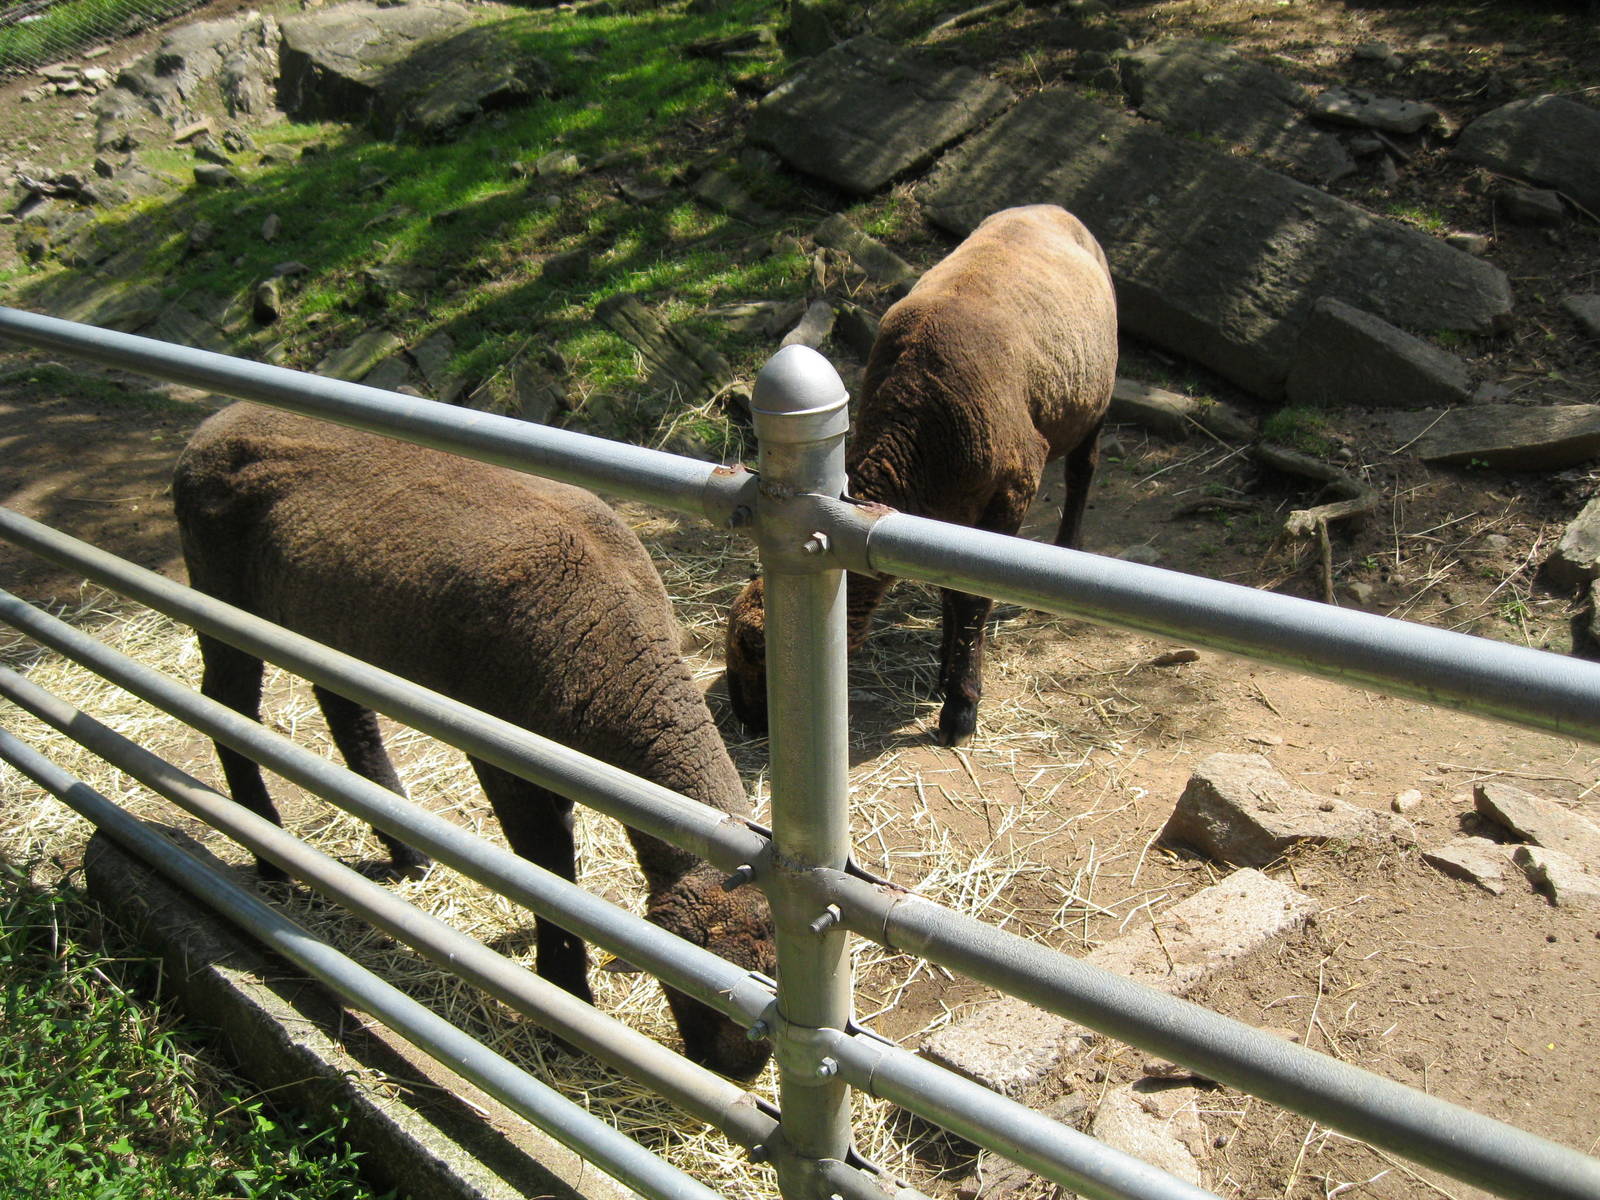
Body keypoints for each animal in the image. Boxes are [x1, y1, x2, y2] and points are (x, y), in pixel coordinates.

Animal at [173, 403, 774, 1078]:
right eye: (703, 994)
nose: (736, 1075)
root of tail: (219, 419)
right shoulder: (506, 750)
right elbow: (546, 866)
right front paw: (566, 999)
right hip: (222, 585)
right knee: (227, 700)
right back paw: (269, 853)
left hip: (329, 620)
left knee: (345, 712)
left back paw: (407, 850)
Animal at [726, 205, 1119, 746]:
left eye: (756, 649)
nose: (742, 717)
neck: (913, 424)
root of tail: (1049, 209)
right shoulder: (946, 510)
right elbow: (949, 588)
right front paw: (943, 675)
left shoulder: (1011, 491)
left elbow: (972, 598)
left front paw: (961, 707)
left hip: (1093, 400)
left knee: (1083, 470)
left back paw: (1066, 546)